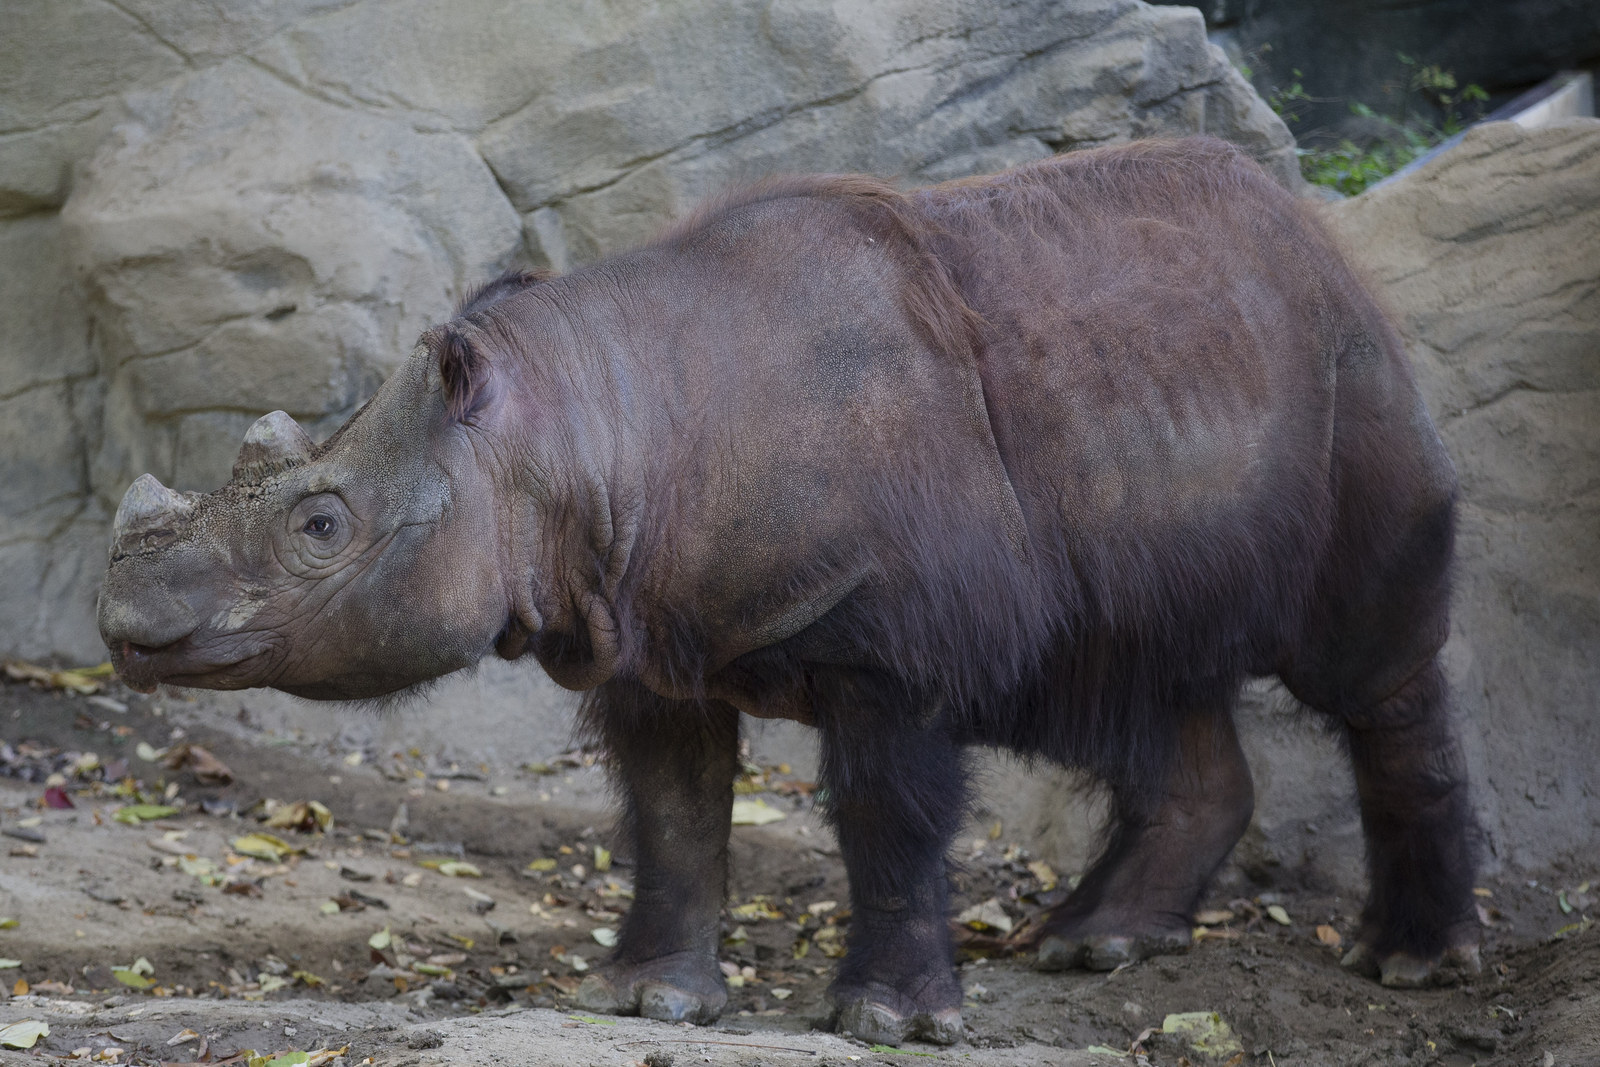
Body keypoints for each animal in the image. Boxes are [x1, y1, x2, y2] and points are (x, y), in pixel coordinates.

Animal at [96, 139, 1472, 1043]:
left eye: (322, 525)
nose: (125, 624)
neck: (579, 433)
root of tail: (1317, 233)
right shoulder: (642, 631)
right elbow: (670, 807)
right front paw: (644, 997)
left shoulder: (889, 647)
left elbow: (885, 812)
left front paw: (887, 1020)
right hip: (1172, 383)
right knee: (1141, 667)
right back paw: (1092, 947)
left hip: (1348, 371)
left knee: (1365, 669)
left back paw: (1411, 964)